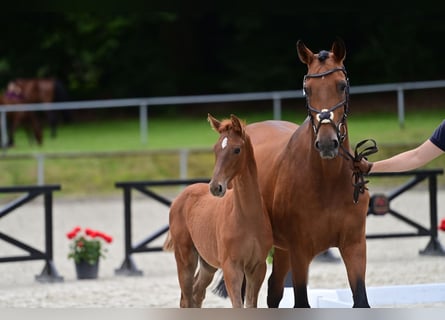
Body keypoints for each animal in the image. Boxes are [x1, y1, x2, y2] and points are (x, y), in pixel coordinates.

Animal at [165, 114, 272, 308]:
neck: (247, 216)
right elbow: (237, 305)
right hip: (185, 256)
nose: (216, 187)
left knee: (197, 293)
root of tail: (180, 197)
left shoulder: (257, 266)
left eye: (237, 150)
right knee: (186, 298)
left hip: (208, 264)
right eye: (215, 149)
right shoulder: (231, 267)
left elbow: (250, 304)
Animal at [245, 39, 370, 308]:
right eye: (307, 89)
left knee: (274, 291)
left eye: (341, 85)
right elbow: (301, 300)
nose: (327, 143)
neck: (327, 181)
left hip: (281, 250)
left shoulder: (354, 246)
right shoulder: (300, 251)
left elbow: (361, 300)